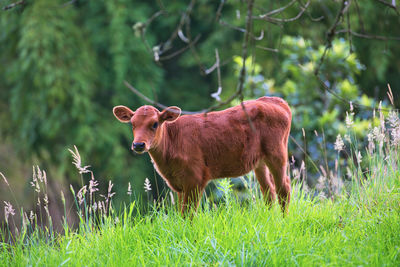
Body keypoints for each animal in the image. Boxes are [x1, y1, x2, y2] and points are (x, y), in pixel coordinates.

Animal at [114, 97, 292, 215]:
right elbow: (181, 212)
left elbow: (188, 214)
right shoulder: (180, 184)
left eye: (155, 124)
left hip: (277, 153)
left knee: (284, 188)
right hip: (260, 162)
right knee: (268, 191)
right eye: (132, 124)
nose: (138, 145)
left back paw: (283, 221)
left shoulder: (195, 178)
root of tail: (274, 100)